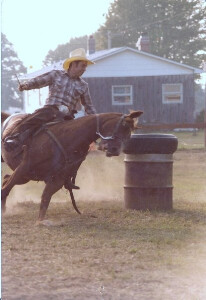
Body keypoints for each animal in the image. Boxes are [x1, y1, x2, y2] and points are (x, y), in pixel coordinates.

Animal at [1, 110, 142, 223]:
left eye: (129, 133)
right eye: (122, 126)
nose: (114, 150)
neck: (67, 138)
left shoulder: (58, 179)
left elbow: (45, 198)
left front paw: (40, 221)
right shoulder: (24, 167)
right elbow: (5, 191)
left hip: (26, 177)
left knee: (6, 179)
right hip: (25, 174)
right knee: (6, 184)